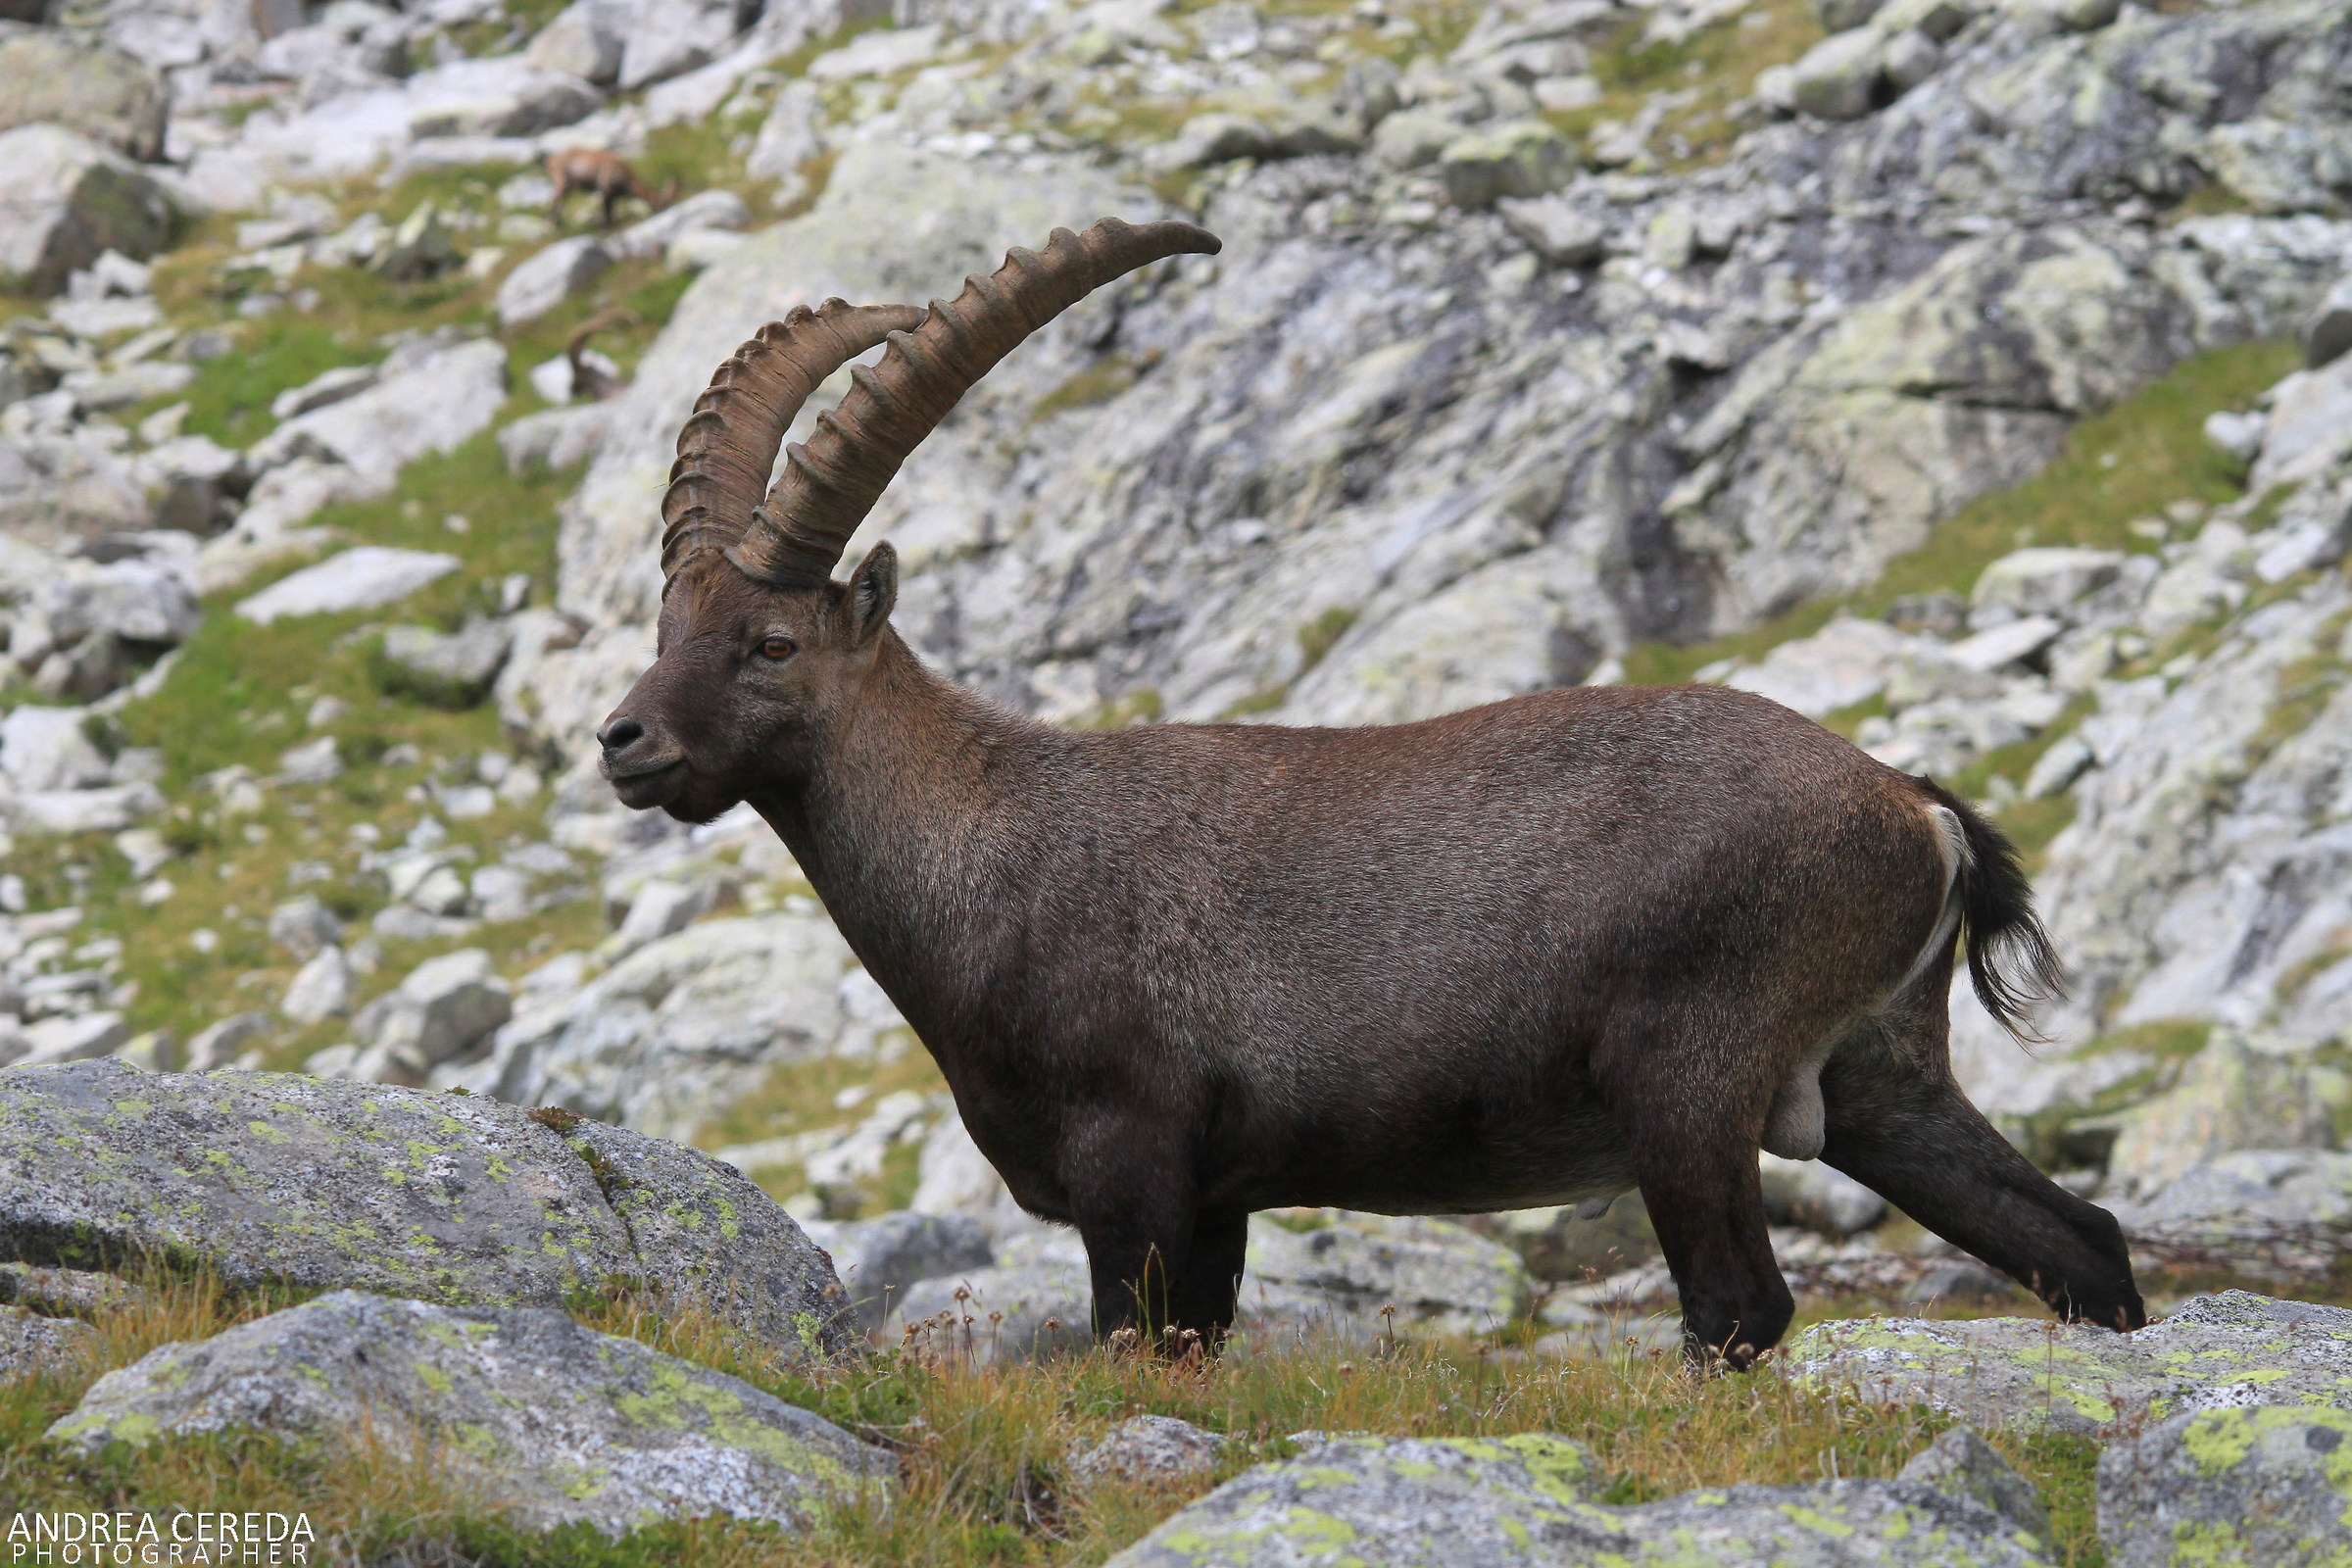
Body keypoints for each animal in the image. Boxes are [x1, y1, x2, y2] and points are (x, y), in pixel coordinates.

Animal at [544, 148, 675, 229]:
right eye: (663, 203)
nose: (666, 209)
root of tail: (552, 159)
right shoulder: (606, 191)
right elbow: (607, 210)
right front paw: (608, 227)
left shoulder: (611, 196)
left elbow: (610, 210)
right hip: (562, 182)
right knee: (555, 199)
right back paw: (553, 225)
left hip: (568, 188)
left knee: (560, 202)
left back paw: (559, 223)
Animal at [596, 217, 2145, 1367]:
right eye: (668, 623)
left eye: (771, 644)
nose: (624, 740)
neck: (990, 840)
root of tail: (1911, 806)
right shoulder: (1214, 1206)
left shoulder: (1132, 1167)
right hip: (1883, 1078)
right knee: (2079, 1241)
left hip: (1688, 1072)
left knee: (1741, 1306)